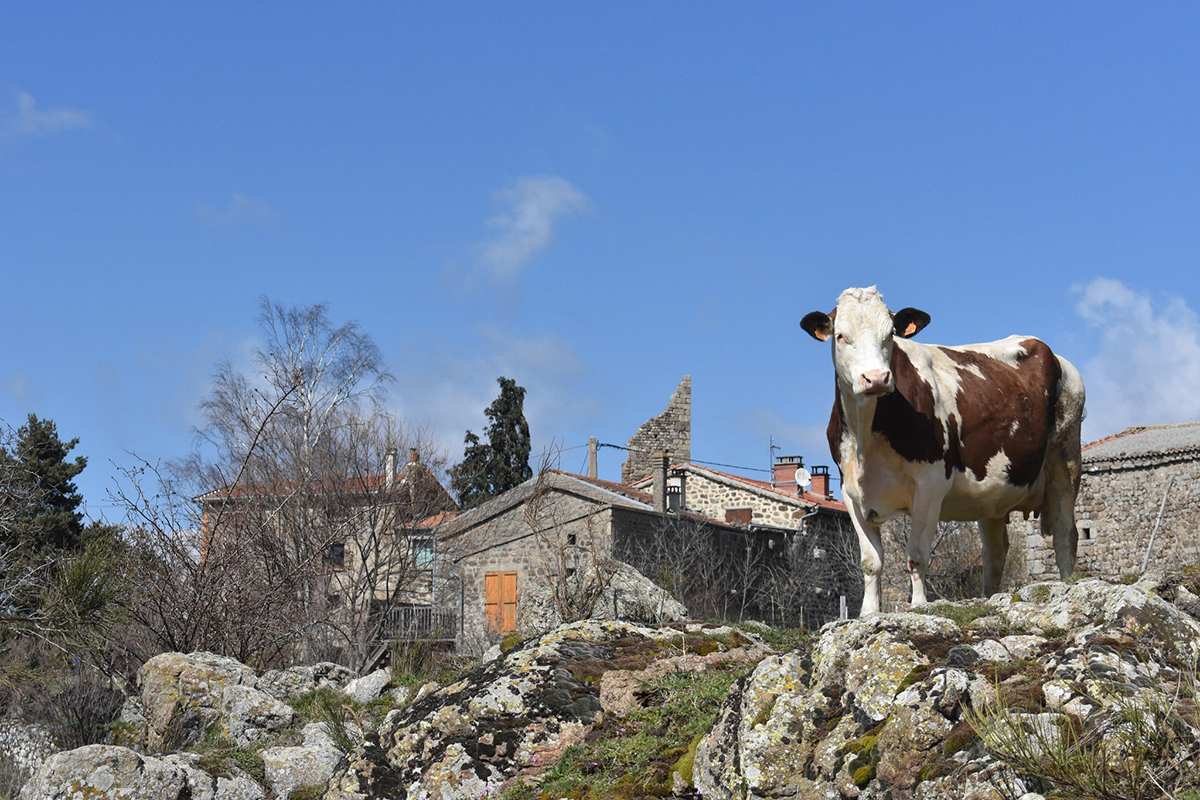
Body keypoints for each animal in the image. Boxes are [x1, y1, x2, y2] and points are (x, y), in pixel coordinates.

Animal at [801, 286, 1085, 615]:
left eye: (890, 335)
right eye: (840, 336)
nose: (876, 378)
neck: (866, 442)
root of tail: (1051, 352)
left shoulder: (930, 485)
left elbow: (917, 555)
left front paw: (919, 605)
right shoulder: (851, 492)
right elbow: (871, 563)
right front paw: (868, 613)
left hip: (1065, 458)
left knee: (1065, 533)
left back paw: (1067, 585)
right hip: (994, 493)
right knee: (995, 552)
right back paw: (990, 597)